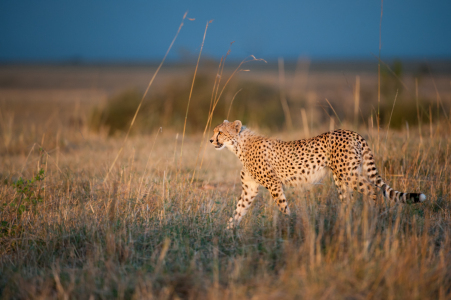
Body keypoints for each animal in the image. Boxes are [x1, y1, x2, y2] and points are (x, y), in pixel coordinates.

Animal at [210, 119, 426, 227]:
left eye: (220, 132)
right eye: (214, 131)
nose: (211, 141)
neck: (239, 145)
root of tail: (352, 132)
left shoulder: (273, 183)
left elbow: (282, 206)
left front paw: (289, 225)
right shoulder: (250, 188)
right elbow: (238, 210)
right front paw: (228, 231)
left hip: (349, 174)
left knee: (372, 190)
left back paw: (373, 217)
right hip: (341, 178)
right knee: (348, 200)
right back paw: (345, 222)